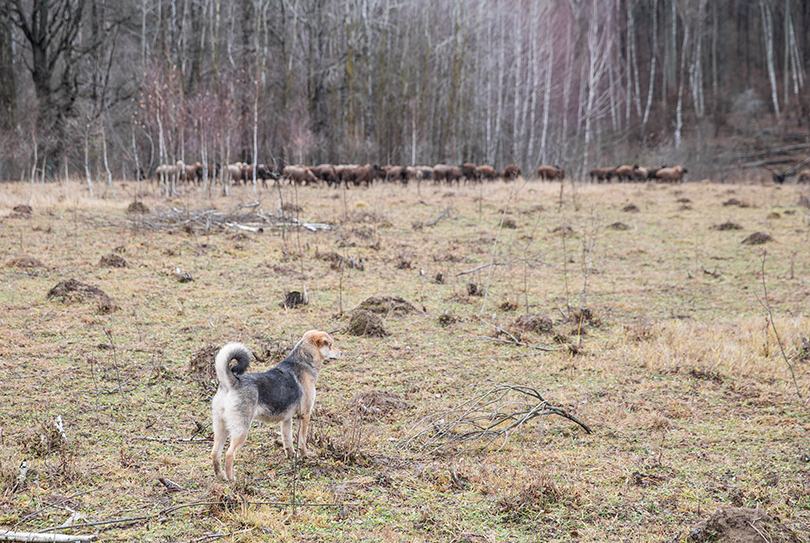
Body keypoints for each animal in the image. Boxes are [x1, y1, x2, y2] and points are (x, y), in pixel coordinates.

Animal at [210, 332, 340, 480]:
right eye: (330, 345)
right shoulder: (305, 415)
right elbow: (302, 440)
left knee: (215, 453)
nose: (341, 353)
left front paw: (291, 456)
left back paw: (220, 476)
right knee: (229, 454)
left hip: (221, 429)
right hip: (241, 431)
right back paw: (232, 479)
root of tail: (231, 383)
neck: (303, 362)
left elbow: (288, 441)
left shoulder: (287, 419)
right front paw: (305, 455)